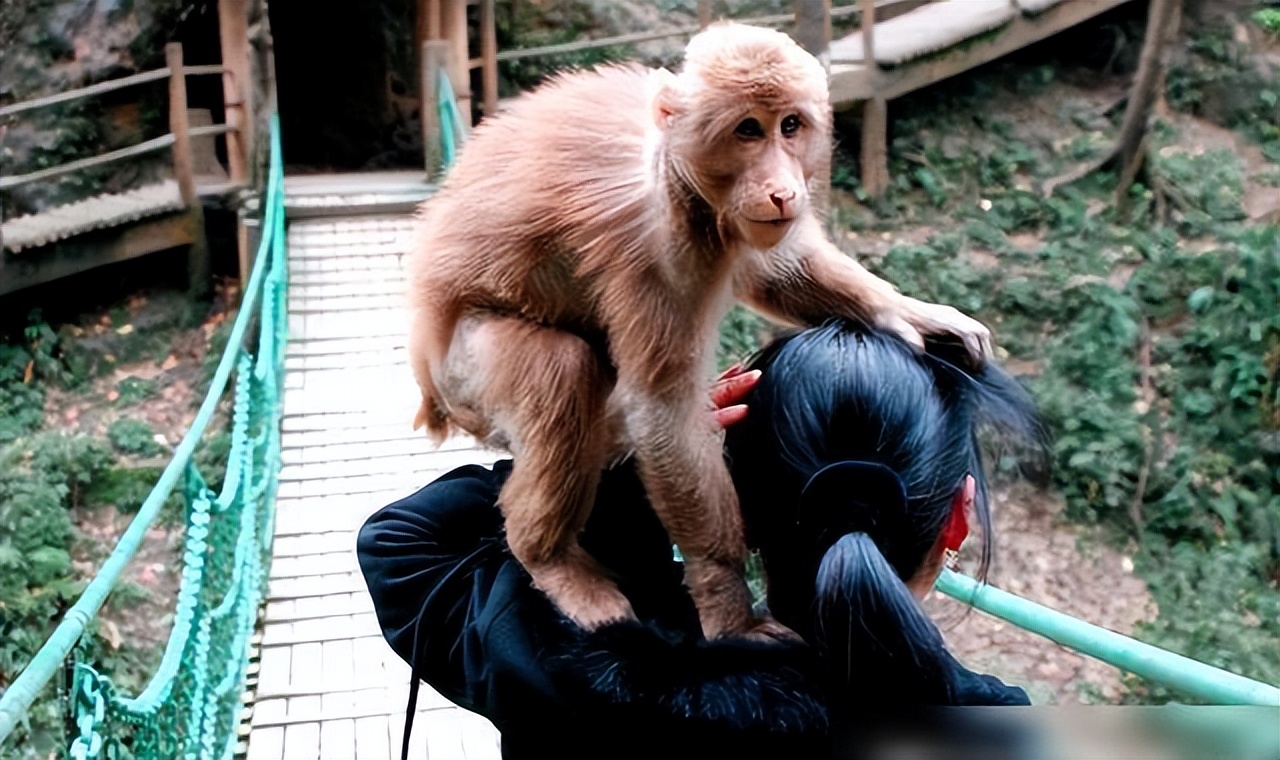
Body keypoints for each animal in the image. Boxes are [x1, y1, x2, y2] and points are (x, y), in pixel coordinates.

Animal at [404, 22, 993, 639]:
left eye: (790, 125)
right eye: (748, 130)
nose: (782, 189)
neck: (681, 177)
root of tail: (429, 383)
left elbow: (776, 268)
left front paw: (906, 312)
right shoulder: (658, 247)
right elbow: (663, 412)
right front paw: (729, 603)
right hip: (463, 378)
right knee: (562, 370)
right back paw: (549, 557)